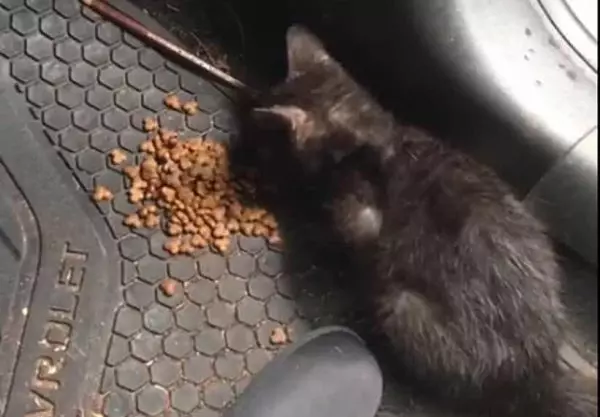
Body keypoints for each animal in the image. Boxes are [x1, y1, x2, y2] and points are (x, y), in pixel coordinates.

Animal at [247, 25, 598, 417]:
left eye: (264, 142)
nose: (247, 145)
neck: (371, 135)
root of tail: (538, 374)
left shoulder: (361, 218)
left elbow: (335, 232)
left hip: (400, 304)